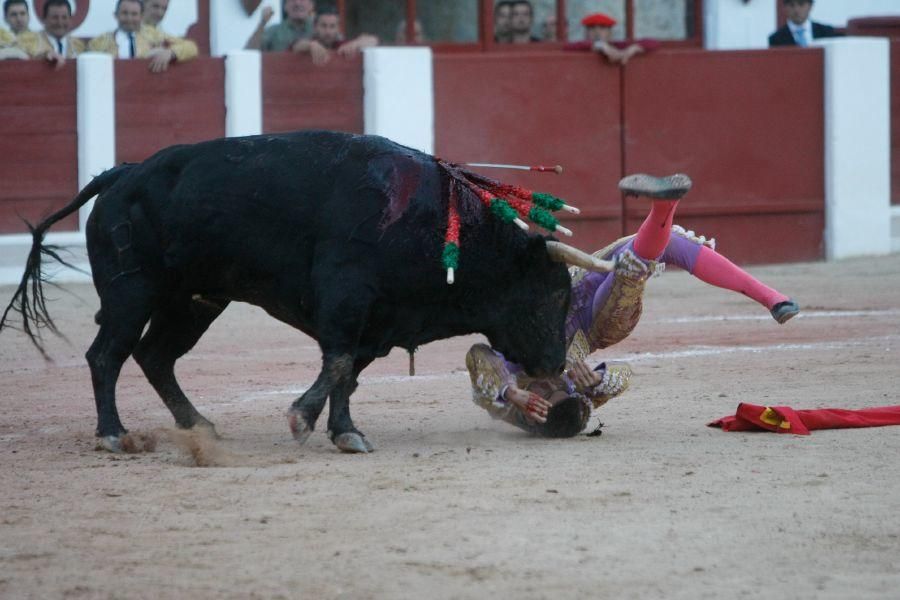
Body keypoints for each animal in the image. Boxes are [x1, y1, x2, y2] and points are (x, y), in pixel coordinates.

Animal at [1, 130, 568, 450]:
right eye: (549, 296)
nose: (556, 365)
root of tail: (122, 173)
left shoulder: (376, 321)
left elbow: (348, 374)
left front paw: (345, 431)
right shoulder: (346, 295)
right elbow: (338, 364)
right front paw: (303, 421)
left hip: (193, 302)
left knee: (154, 355)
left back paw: (198, 424)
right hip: (130, 294)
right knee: (106, 355)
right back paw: (114, 435)